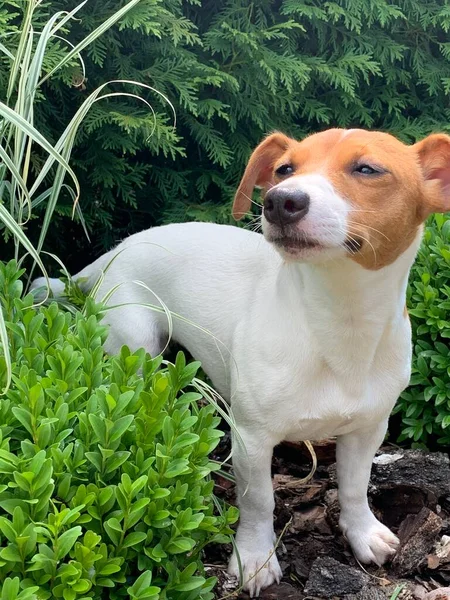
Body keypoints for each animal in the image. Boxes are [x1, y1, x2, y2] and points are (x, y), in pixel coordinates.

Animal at [31, 129, 450, 596]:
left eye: (367, 169)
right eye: (285, 169)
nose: (280, 201)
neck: (338, 323)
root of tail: (114, 252)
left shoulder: (368, 430)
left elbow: (355, 487)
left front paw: (363, 533)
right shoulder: (252, 438)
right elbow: (259, 501)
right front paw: (253, 558)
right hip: (136, 345)